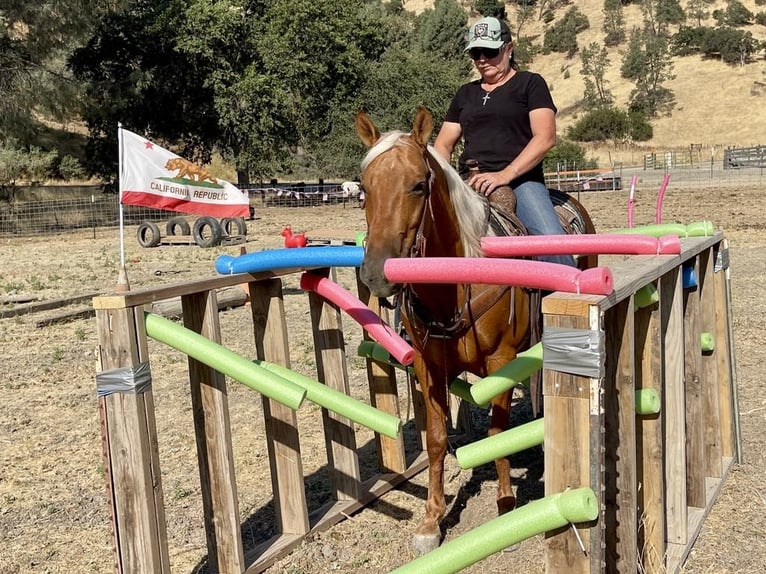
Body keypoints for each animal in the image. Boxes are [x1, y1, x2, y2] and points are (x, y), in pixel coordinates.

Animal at [355, 106, 595, 554]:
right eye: (363, 188)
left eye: (418, 185)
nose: (378, 273)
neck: (455, 283)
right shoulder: (428, 367)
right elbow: (435, 439)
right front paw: (432, 521)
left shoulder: (501, 361)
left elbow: (497, 432)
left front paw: (505, 507)